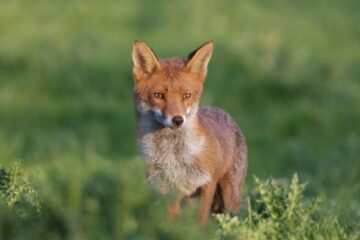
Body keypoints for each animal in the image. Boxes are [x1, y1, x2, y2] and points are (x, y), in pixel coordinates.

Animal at [132, 40, 248, 226]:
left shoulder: (208, 183)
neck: (173, 156)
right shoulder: (167, 189)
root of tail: (220, 109)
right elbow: (174, 223)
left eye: (187, 95)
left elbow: (200, 222)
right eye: (158, 95)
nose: (177, 120)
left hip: (230, 195)